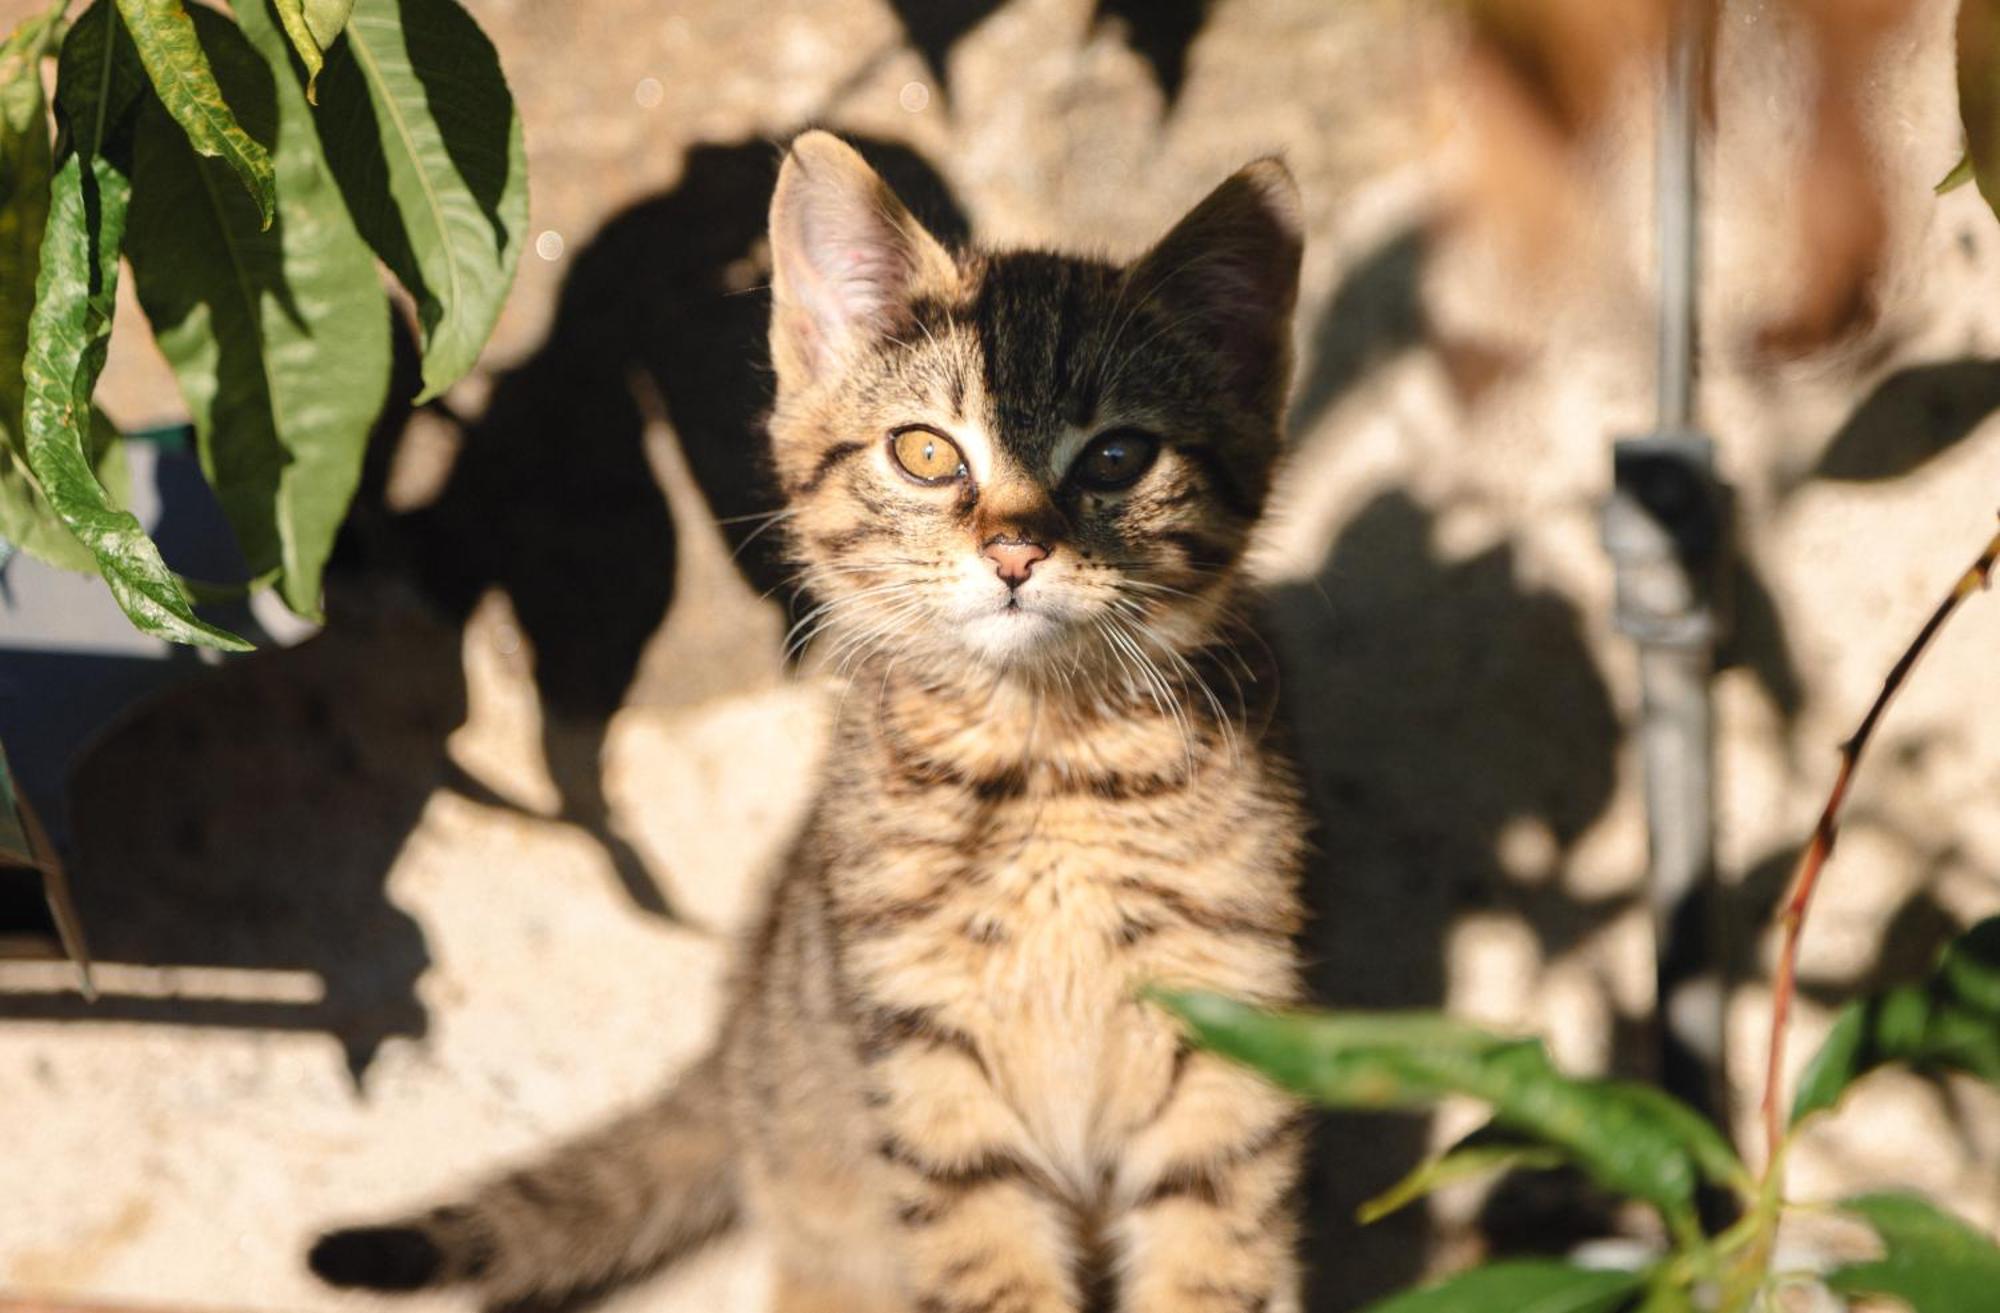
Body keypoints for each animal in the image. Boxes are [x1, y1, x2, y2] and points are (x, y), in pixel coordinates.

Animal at [312, 131, 1312, 1313]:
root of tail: (737, 1032)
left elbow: (1214, 1262)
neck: (1046, 761)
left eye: (1117, 458)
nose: (1015, 550)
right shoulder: (926, 1063)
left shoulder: (1230, 1037)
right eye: (927, 453)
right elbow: (992, 1269)